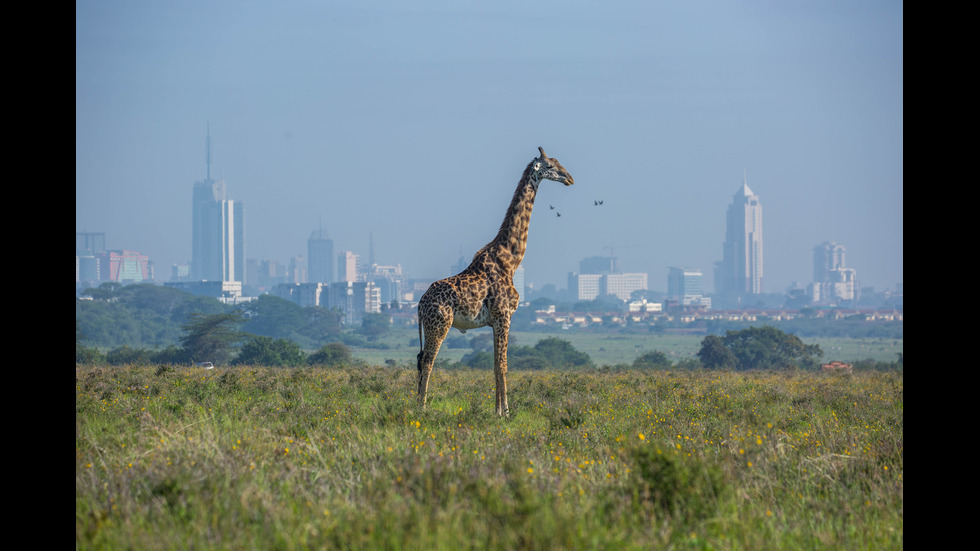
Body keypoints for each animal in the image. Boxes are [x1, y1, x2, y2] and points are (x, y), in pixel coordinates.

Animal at [416, 149, 576, 416]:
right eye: (550, 166)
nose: (570, 178)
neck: (511, 260)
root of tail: (419, 306)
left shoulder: (494, 321)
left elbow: (494, 364)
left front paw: (497, 411)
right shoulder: (504, 314)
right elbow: (503, 365)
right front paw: (505, 412)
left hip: (431, 327)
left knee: (419, 360)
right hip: (439, 325)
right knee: (428, 362)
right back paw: (422, 408)